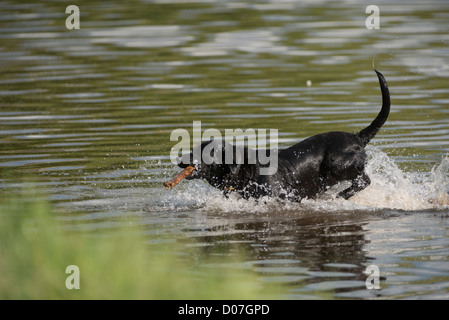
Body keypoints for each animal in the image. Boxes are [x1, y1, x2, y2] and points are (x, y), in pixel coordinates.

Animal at [172, 69, 388, 202]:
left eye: (203, 152)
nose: (179, 159)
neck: (245, 169)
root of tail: (357, 137)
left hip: (336, 162)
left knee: (363, 180)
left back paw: (341, 196)